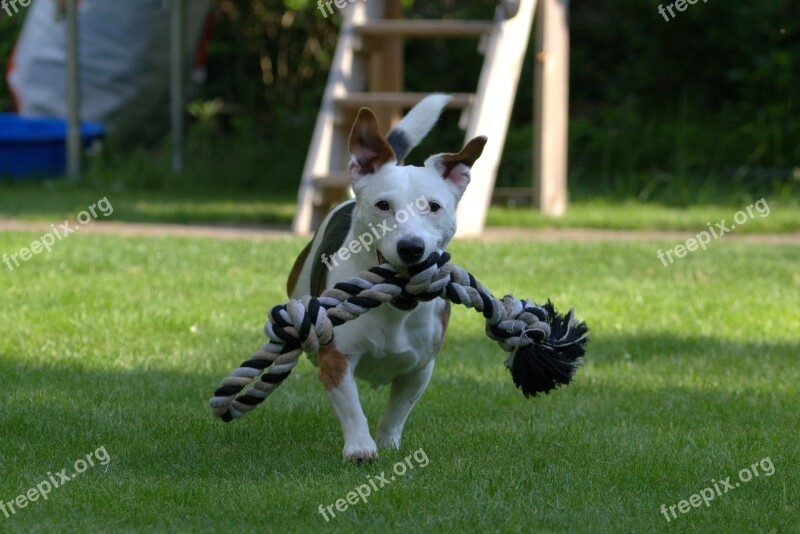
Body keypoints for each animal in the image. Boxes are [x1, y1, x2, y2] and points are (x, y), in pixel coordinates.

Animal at [288, 94, 488, 462]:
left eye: (433, 206)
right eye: (383, 205)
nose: (411, 247)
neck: (395, 305)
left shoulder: (420, 368)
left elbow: (398, 410)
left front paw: (388, 442)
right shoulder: (337, 358)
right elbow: (351, 406)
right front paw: (361, 447)